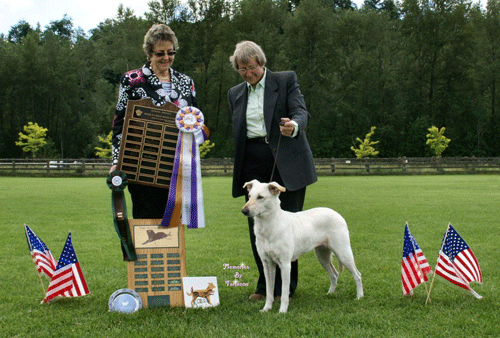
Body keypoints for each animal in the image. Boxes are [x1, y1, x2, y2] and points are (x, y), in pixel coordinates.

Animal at [240, 181, 362, 312]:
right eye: (249, 196)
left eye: (260, 197)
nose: (244, 211)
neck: (269, 225)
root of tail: (337, 214)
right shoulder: (267, 264)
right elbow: (269, 291)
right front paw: (266, 309)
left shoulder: (285, 264)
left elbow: (284, 292)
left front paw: (282, 311)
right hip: (322, 255)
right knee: (334, 274)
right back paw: (330, 294)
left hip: (343, 253)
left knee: (357, 275)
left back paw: (359, 297)